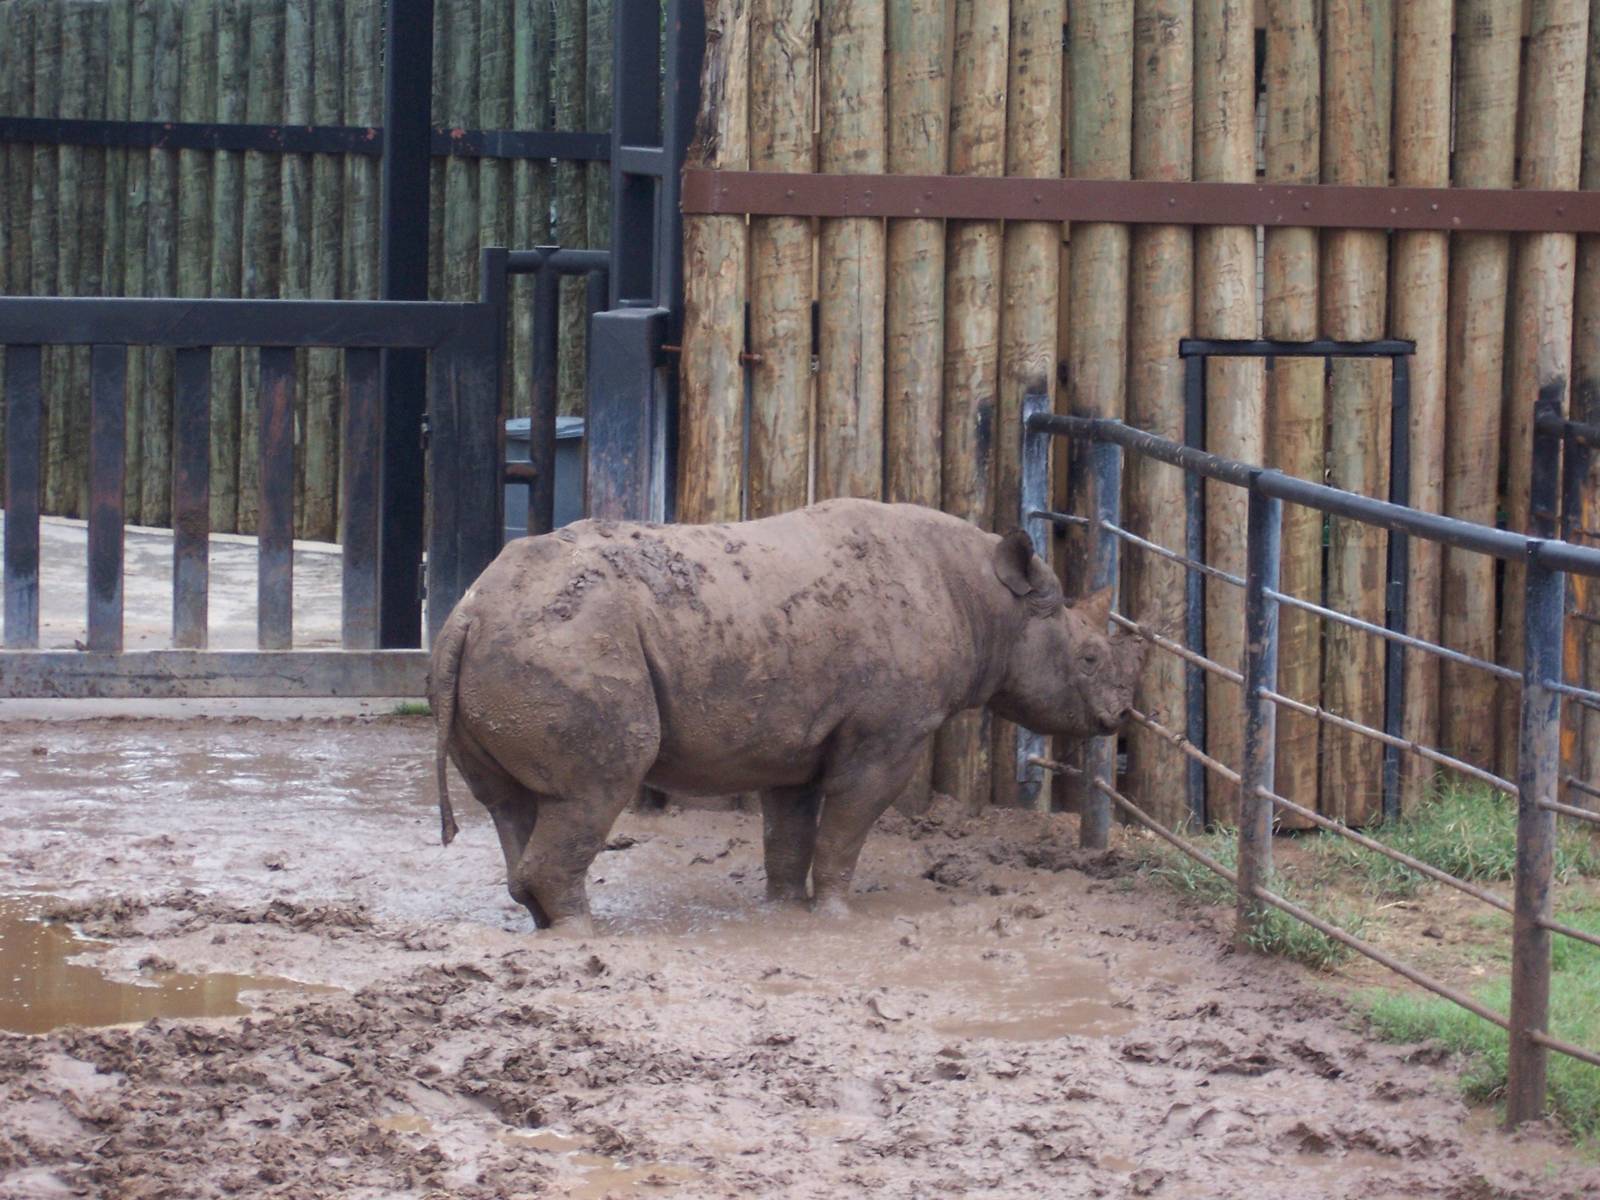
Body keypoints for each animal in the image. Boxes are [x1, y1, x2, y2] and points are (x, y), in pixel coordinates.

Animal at [429, 498, 1144, 932]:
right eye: (1086, 658)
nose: (1122, 714)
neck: (988, 602)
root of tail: (471, 610)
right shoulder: (889, 734)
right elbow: (848, 823)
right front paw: (837, 917)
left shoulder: (791, 736)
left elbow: (790, 832)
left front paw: (782, 912)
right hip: (564, 639)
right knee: (597, 787)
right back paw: (588, 933)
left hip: (508, 641)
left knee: (514, 804)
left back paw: (547, 920)